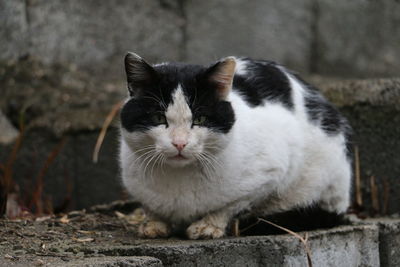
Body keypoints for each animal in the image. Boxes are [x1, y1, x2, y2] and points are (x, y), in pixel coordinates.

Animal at [119, 52, 350, 241]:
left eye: (200, 119)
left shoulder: (270, 172)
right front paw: (153, 224)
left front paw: (208, 226)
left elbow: (230, 206)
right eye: (158, 118)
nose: (179, 143)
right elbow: (151, 207)